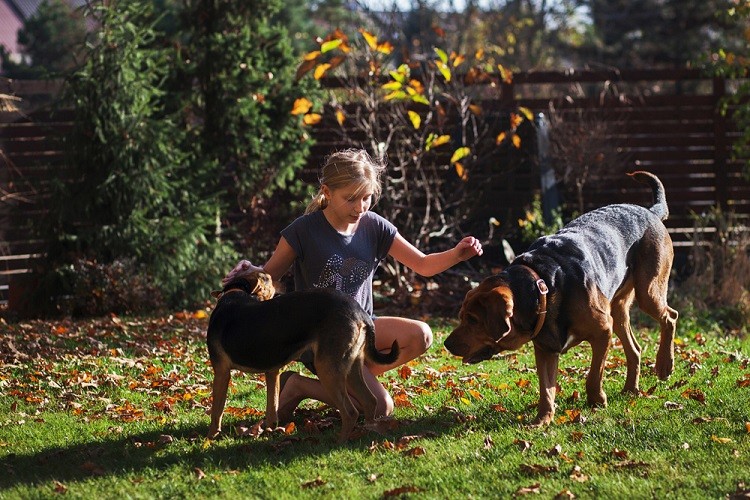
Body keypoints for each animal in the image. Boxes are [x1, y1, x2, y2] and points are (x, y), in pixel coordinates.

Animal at [207, 274, 400, 442]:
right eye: (268, 278)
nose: (285, 283)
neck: (235, 292)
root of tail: (359, 312)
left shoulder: (221, 372)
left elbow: (217, 410)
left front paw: (211, 436)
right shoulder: (273, 372)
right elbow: (272, 407)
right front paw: (269, 429)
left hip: (327, 369)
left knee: (350, 412)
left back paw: (339, 442)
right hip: (352, 367)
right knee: (370, 401)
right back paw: (369, 433)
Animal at [446, 172, 680, 426]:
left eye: (473, 320)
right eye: (461, 316)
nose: (446, 344)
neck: (544, 285)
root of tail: (650, 212)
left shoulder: (602, 331)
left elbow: (593, 375)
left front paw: (596, 401)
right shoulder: (546, 349)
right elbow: (546, 389)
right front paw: (542, 419)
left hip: (648, 292)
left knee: (670, 316)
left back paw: (664, 365)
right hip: (618, 311)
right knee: (635, 349)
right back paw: (631, 389)